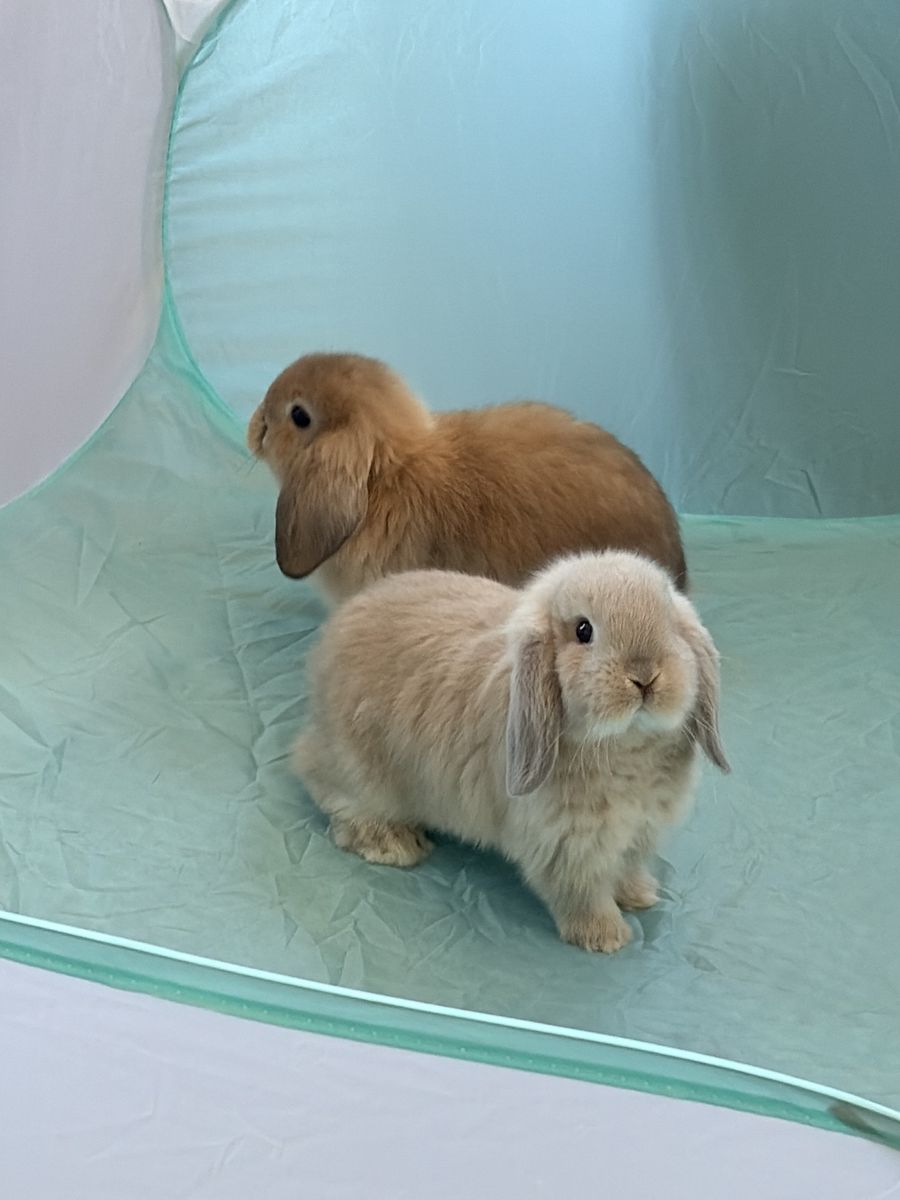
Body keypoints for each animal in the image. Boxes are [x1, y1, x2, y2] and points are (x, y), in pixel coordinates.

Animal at [293, 550, 729, 953]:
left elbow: (626, 869)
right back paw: (395, 845)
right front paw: (605, 937)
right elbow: (581, 893)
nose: (644, 676)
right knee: (330, 794)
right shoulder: (567, 846)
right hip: (362, 774)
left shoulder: (637, 833)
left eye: (670, 623)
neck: (626, 747)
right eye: (583, 630)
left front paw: (640, 895)